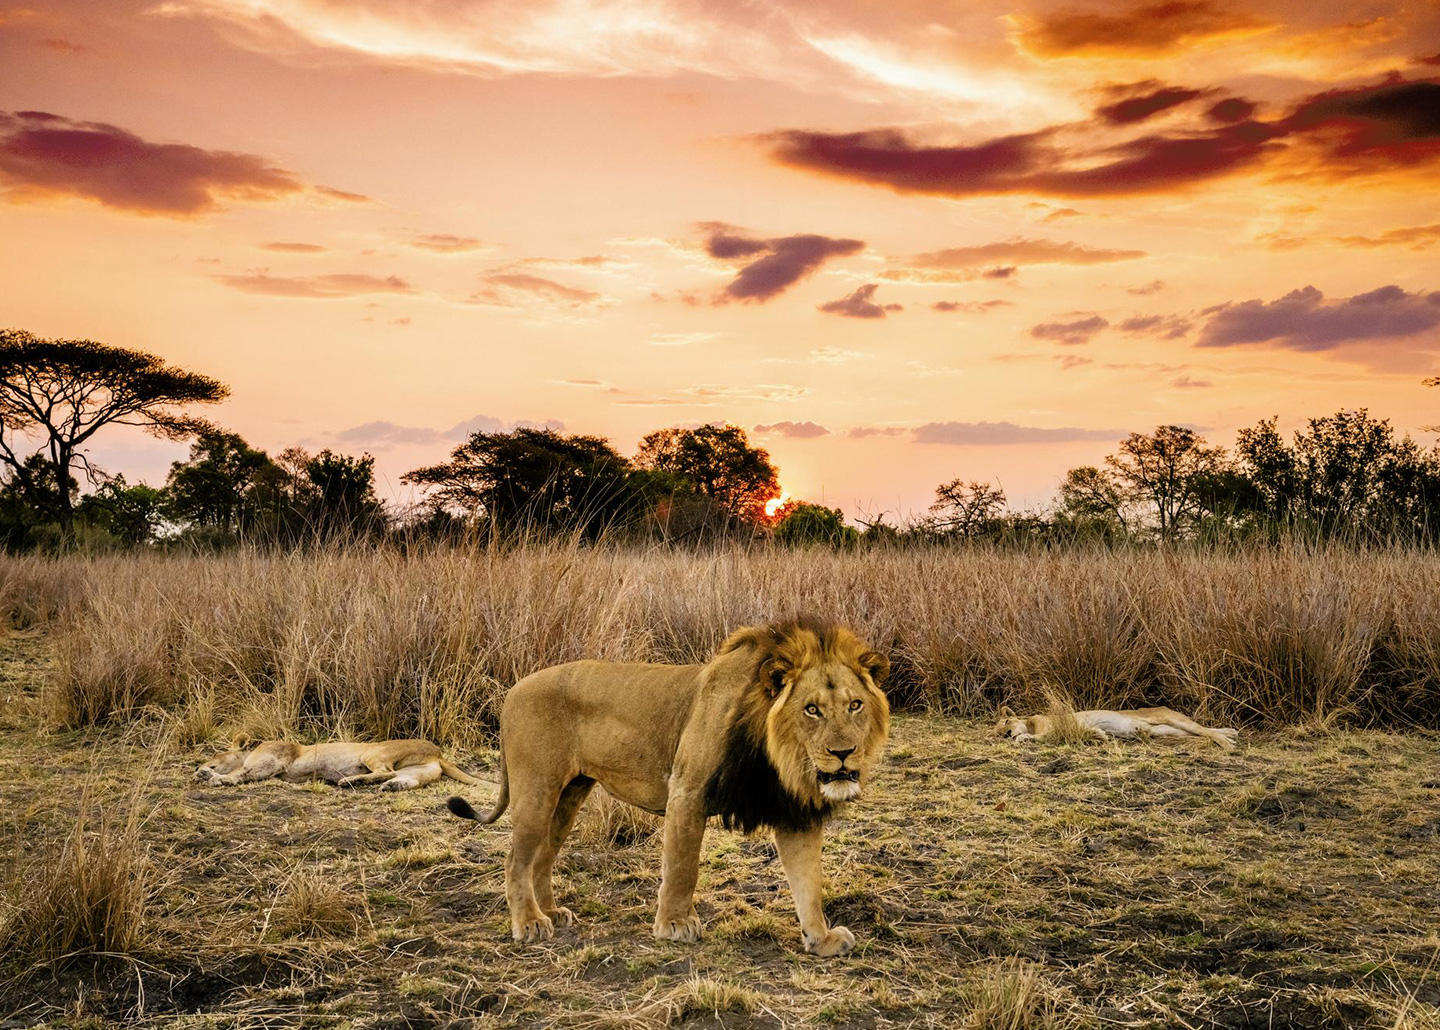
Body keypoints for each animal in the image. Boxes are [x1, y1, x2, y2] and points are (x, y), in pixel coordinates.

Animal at [445, 619, 891, 956]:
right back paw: (530, 923)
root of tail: (512, 691)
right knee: (515, 861)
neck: (776, 757)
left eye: (855, 705)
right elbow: (682, 866)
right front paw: (674, 925)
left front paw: (822, 938)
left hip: (568, 795)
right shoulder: (687, 791)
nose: (844, 753)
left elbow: (809, 883)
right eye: (811, 709)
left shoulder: (793, 811)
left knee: (542, 858)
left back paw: (552, 913)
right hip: (537, 791)